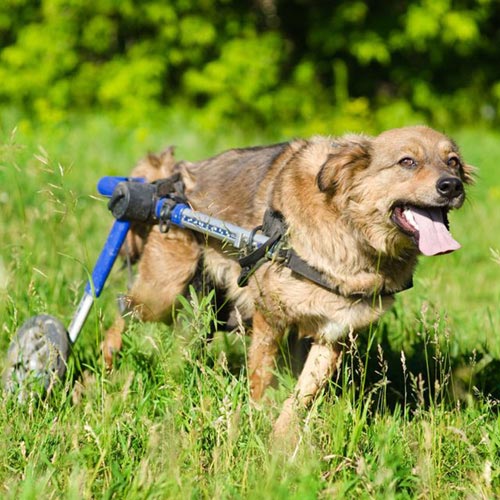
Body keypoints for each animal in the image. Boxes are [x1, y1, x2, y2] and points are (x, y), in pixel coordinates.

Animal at [104, 127, 472, 436]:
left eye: (452, 162)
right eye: (407, 161)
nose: (451, 185)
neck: (350, 231)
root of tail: (174, 182)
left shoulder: (333, 332)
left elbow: (301, 395)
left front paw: (281, 444)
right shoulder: (270, 316)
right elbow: (261, 378)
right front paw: (255, 424)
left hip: (203, 307)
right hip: (162, 292)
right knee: (122, 310)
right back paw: (108, 365)